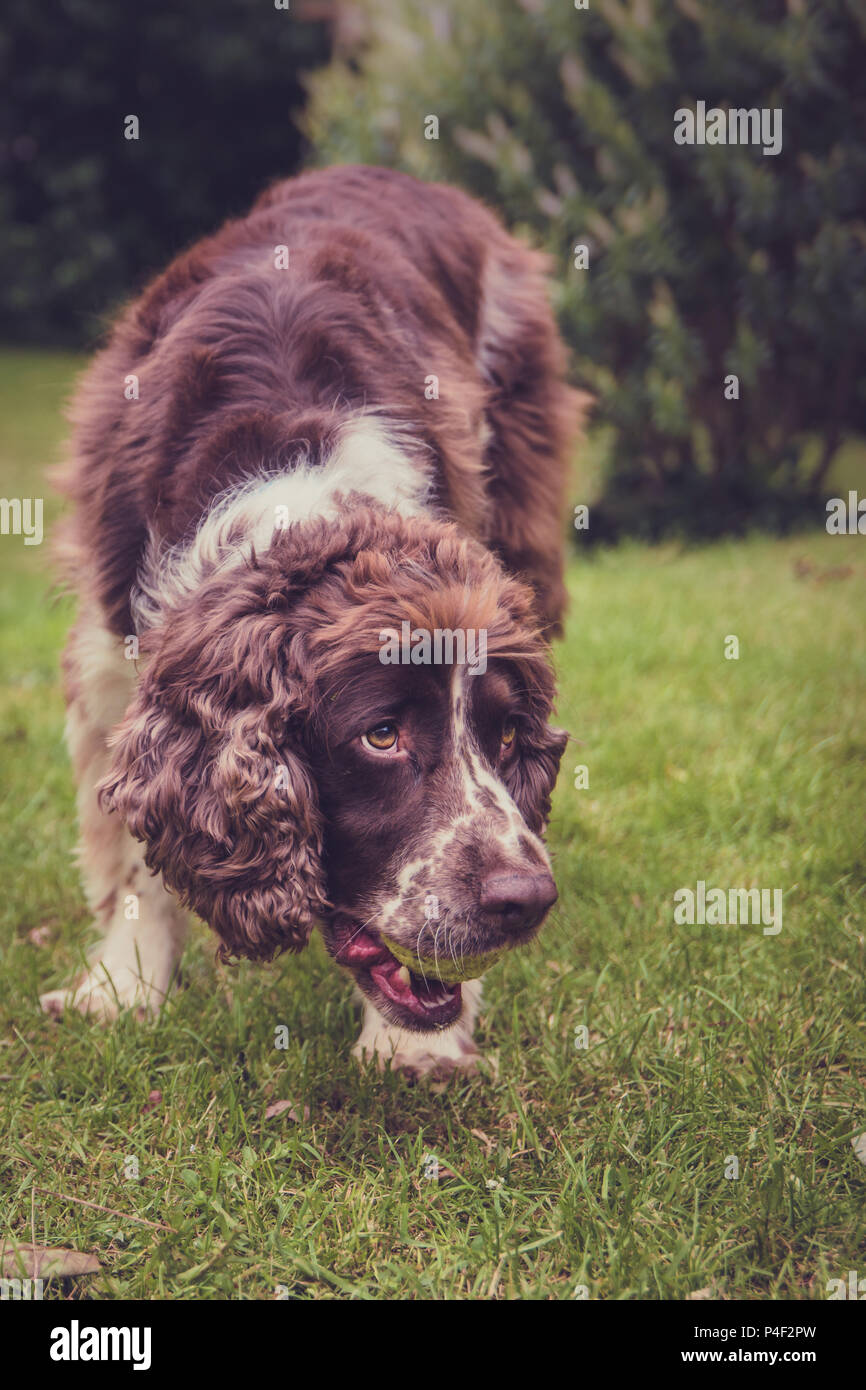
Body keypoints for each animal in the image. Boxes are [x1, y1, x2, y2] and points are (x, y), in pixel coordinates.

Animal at [40, 162, 583, 1073]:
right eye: (381, 736)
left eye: (508, 736)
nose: (528, 898)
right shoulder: (114, 650)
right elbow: (132, 850)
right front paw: (125, 988)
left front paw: (413, 1045)